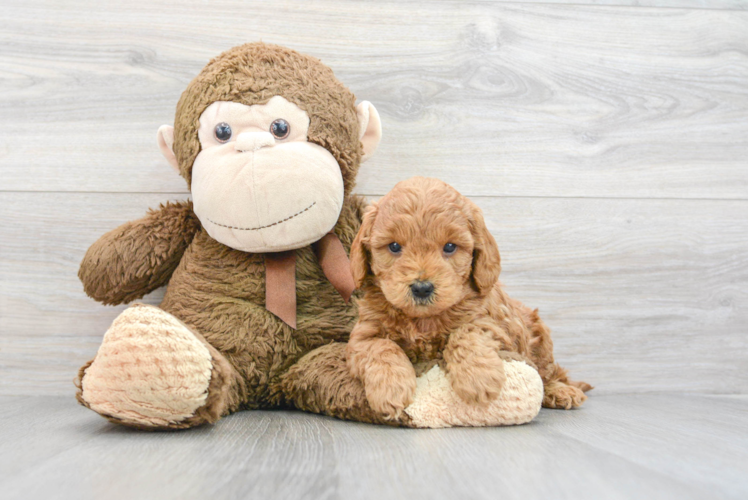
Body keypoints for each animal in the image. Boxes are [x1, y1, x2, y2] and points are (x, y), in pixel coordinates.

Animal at [348, 178, 592, 420]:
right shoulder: (363, 335)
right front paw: (390, 389)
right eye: (394, 246)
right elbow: (381, 348)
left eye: (449, 247)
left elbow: (466, 333)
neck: (423, 321)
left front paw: (478, 378)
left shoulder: (492, 324)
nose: (422, 288)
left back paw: (561, 391)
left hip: (539, 339)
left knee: (549, 371)